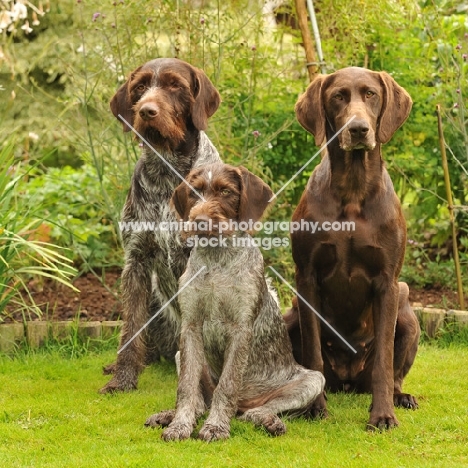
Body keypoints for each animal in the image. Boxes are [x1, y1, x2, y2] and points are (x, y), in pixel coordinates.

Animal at [99, 58, 223, 394]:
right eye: (140, 86)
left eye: (174, 86)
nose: (146, 111)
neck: (167, 174)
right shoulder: (136, 260)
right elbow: (130, 329)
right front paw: (123, 378)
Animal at [145, 163, 326, 440]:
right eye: (194, 192)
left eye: (226, 191)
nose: (199, 221)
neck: (216, 260)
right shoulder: (190, 328)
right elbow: (186, 388)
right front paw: (179, 425)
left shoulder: (241, 330)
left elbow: (227, 385)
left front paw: (216, 426)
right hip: (180, 354)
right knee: (201, 404)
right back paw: (168, 416)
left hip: (314, 380)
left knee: (254, 412)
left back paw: (267, 421)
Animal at [288, 67, 422, 430]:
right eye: (338, 97)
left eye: (371, 94)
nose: (358, 129)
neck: (353, 189)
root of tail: (348, 380)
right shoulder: (306, 278)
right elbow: (314, 355)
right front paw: (315, 409)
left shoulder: (388, 281)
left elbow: (384, 364)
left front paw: (383, 415)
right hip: (290, 314)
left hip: (406, 306)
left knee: (394, 374)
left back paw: (401, 397)